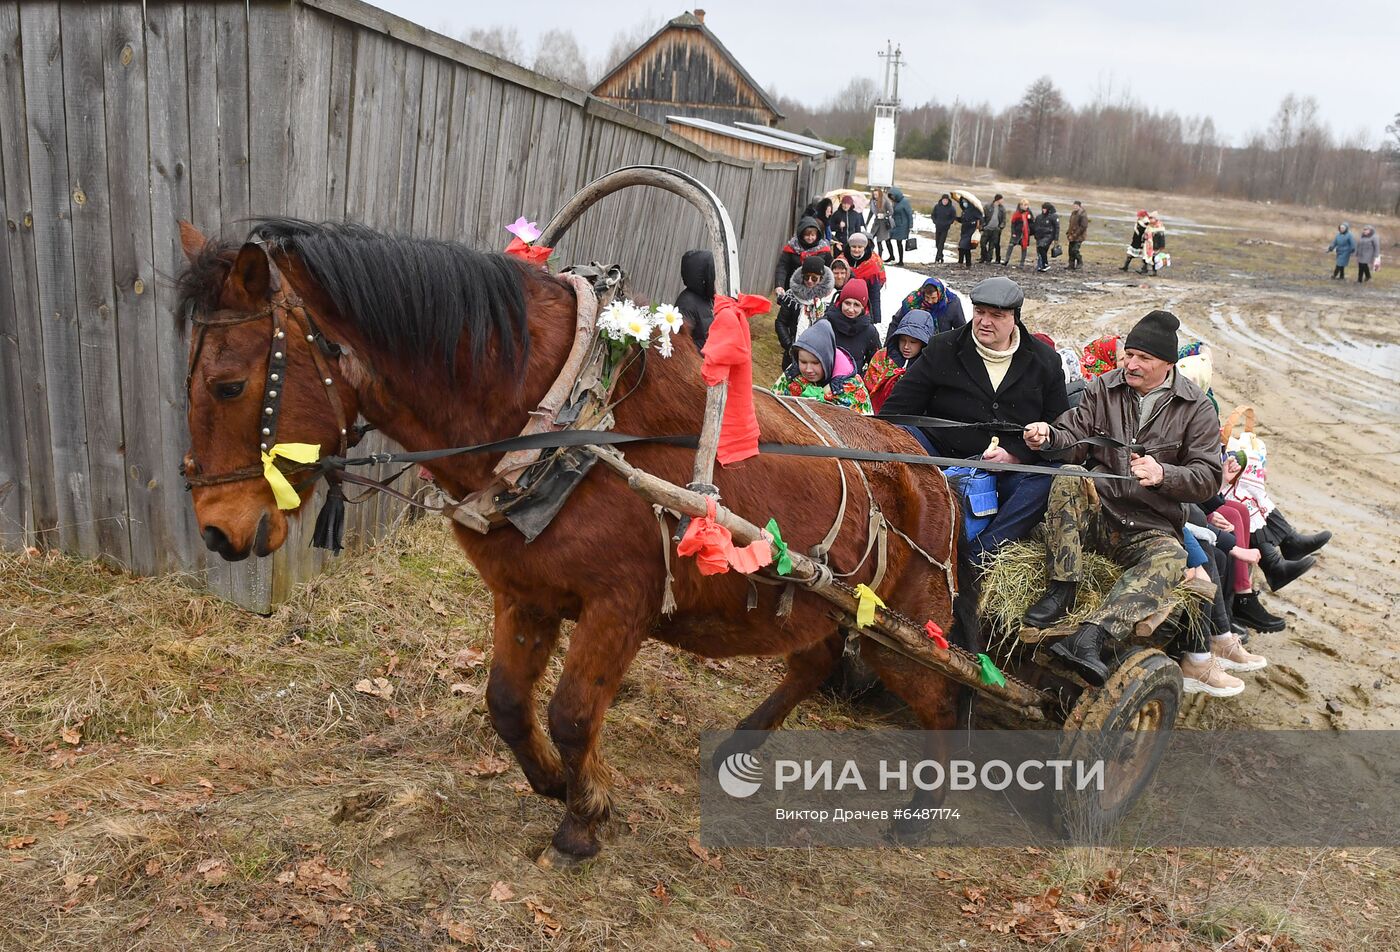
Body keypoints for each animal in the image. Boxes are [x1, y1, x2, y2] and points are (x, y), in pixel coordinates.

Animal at [175, 221, 963, 862]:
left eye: (228, 384)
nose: (216, 529)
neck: (572, 429)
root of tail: (925, 463)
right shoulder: (526, 593)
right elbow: (506, 705)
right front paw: (555, 783)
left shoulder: (621, 604)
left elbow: (574, 714)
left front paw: (585, 815)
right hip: (825, 606)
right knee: (817, 660)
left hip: (909, 620)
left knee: (938, 699)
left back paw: (924, 808)